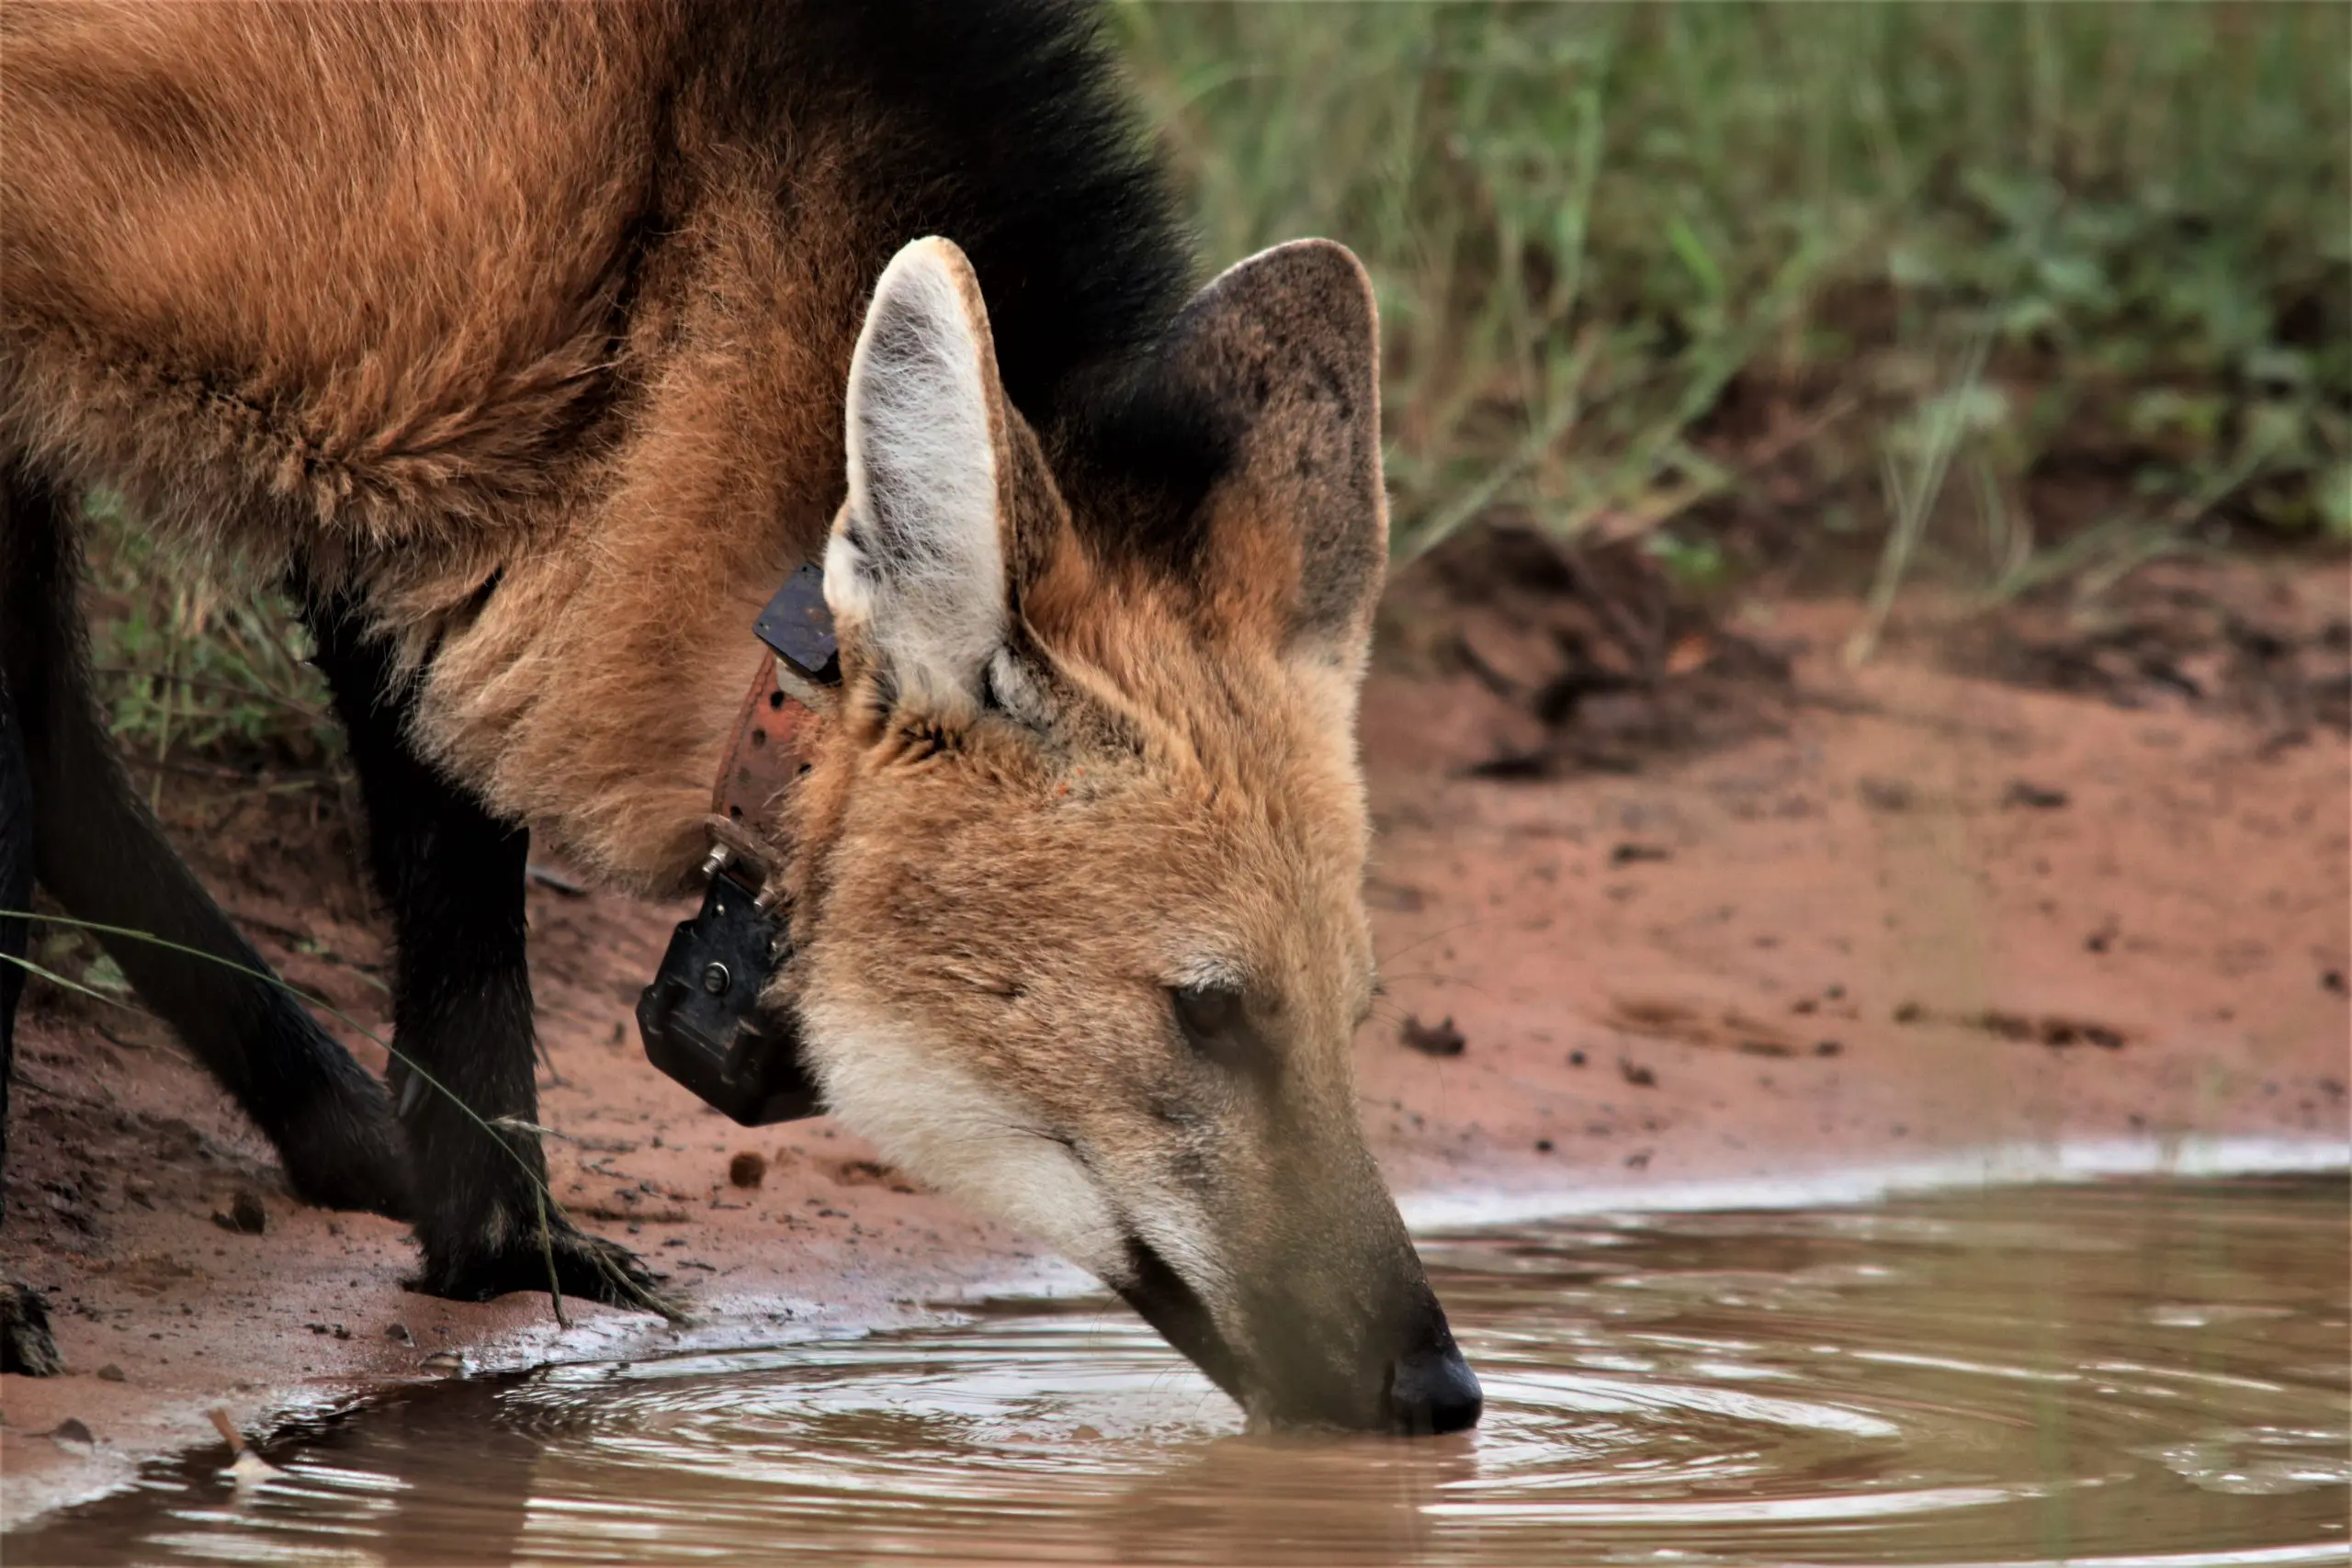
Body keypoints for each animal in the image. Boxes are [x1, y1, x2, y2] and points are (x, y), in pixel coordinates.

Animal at [0, 0, 1486, 1438]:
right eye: (1207, 1013)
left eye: (1354, 1014)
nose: (1444, 1391)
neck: (637, 233)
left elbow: (449, 856)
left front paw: (500, 1240)